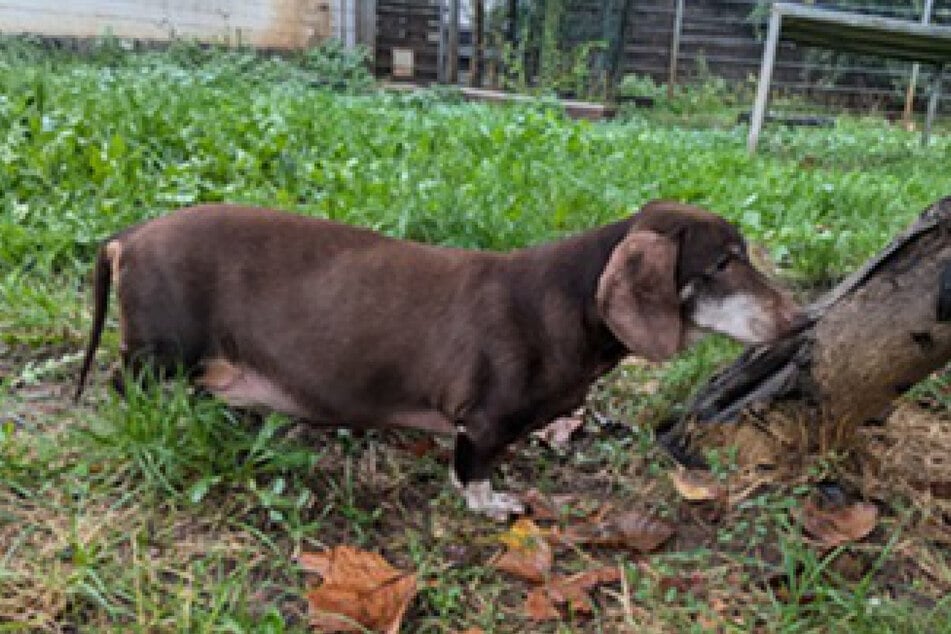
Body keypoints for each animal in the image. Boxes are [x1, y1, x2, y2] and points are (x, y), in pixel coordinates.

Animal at [76, 201, 804, 520]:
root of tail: (127, 235)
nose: (800, 320)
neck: (566, 302)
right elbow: (474, 469)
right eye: (722, 263)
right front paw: (492, 504)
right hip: (156, 354)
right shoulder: (482, 421)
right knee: (123, 386)